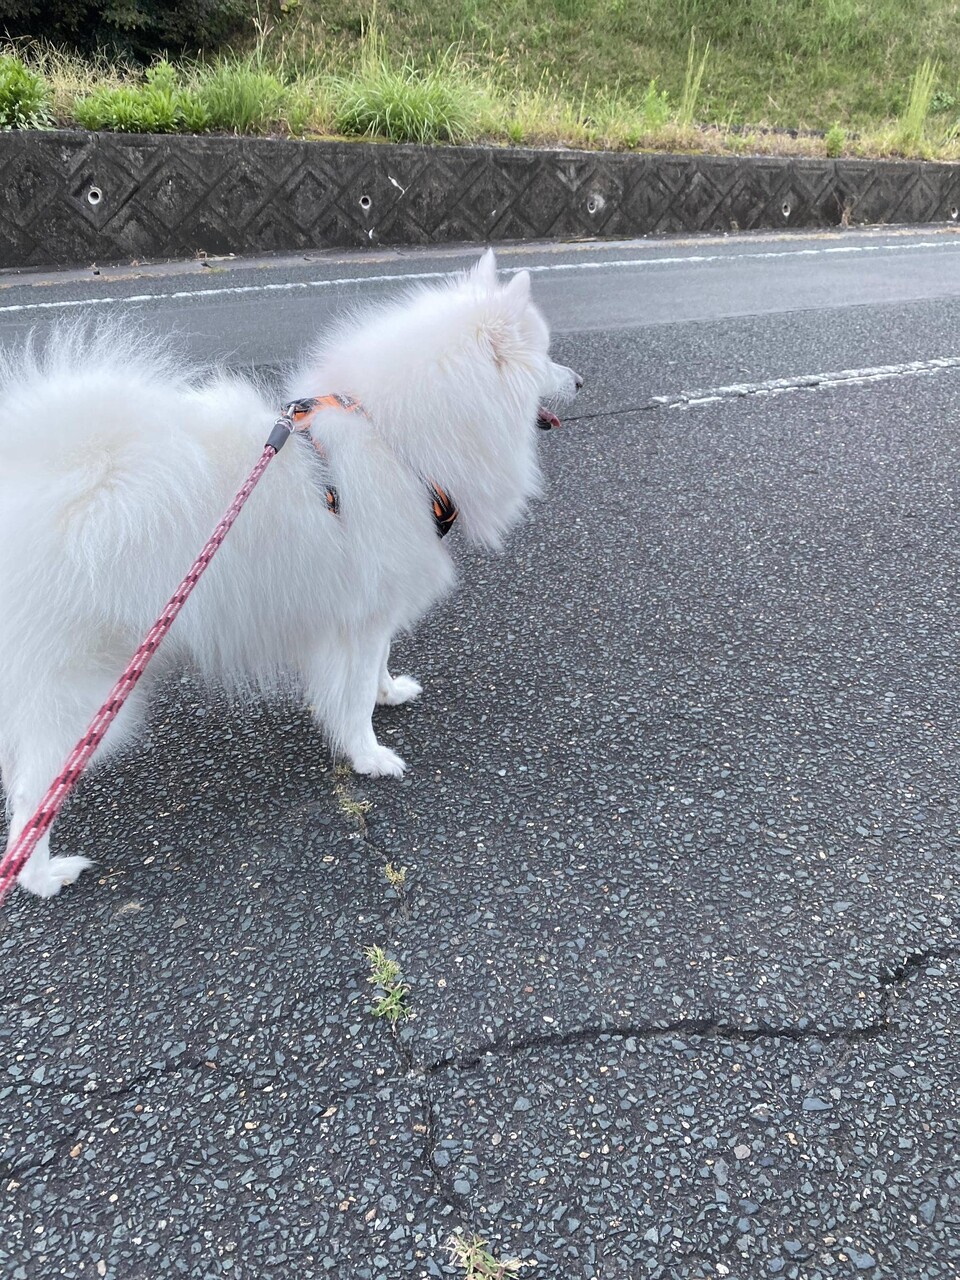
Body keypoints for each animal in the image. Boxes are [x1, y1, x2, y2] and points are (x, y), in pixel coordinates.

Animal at [0, 249, 582, 898]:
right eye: (547, 355)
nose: (580, 381)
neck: (394, 436)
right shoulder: (359, 616)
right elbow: (352, 697)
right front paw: (369, 757)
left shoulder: (373, 603)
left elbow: (376, 667)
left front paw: (388, 693)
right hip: (83, 688)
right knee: (32, 793)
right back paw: (43, 875)